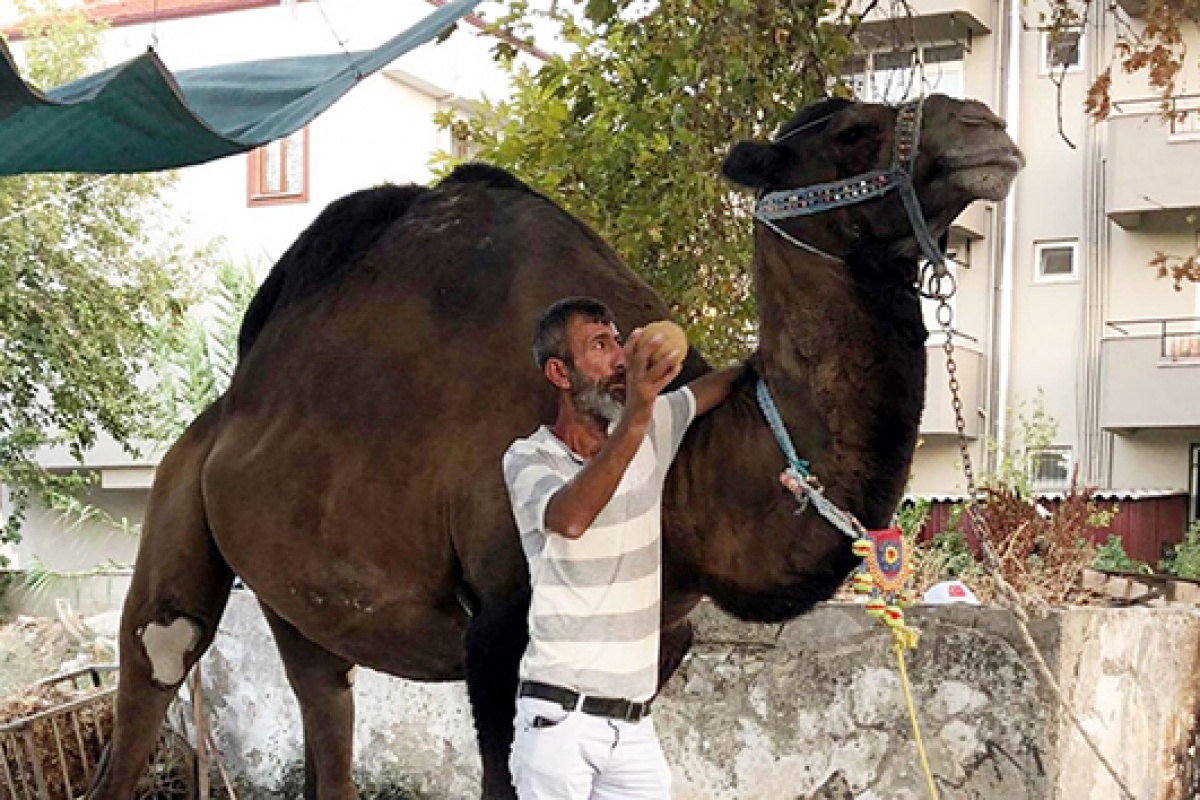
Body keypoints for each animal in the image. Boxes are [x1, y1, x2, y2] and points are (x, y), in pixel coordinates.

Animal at [87, 94, 1022, 800]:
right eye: (853, 131)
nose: (986, 126)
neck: (687, 483)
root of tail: (223, 412)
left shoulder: (661, 642)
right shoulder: (500, 629)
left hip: (299, 602)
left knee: (324, 702)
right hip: (174, 509)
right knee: (155, 658)